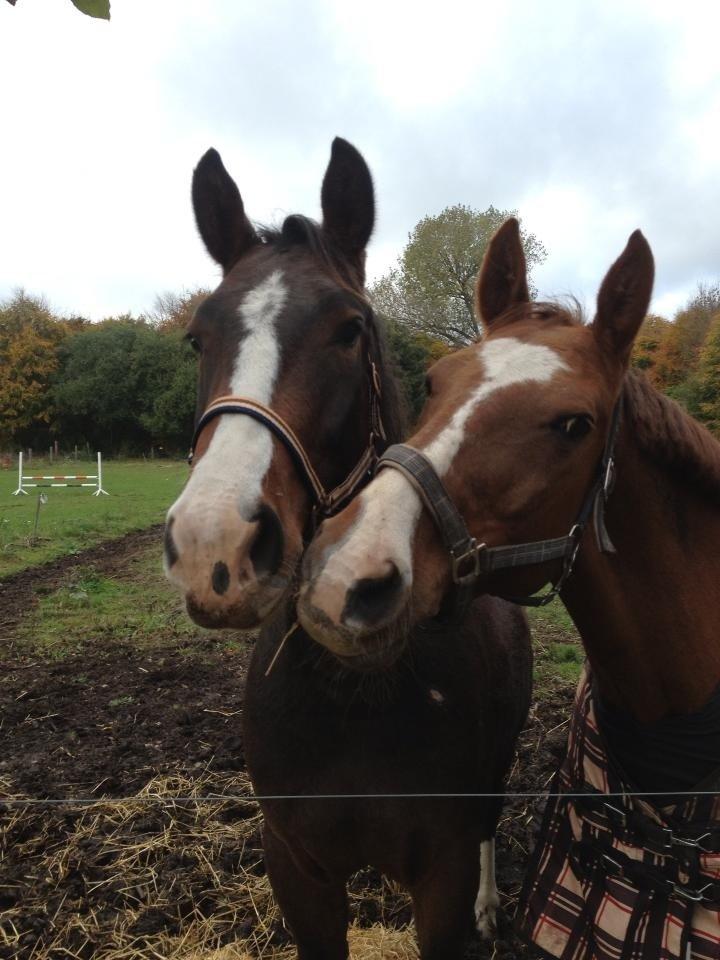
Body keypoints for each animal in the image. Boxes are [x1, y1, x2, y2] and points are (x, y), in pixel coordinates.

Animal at [166, 142, 532, 960]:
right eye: (198, 337)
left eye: (350, 329)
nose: (216, 542)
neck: (353, 687)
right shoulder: (297, 868)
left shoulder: (443, 871)